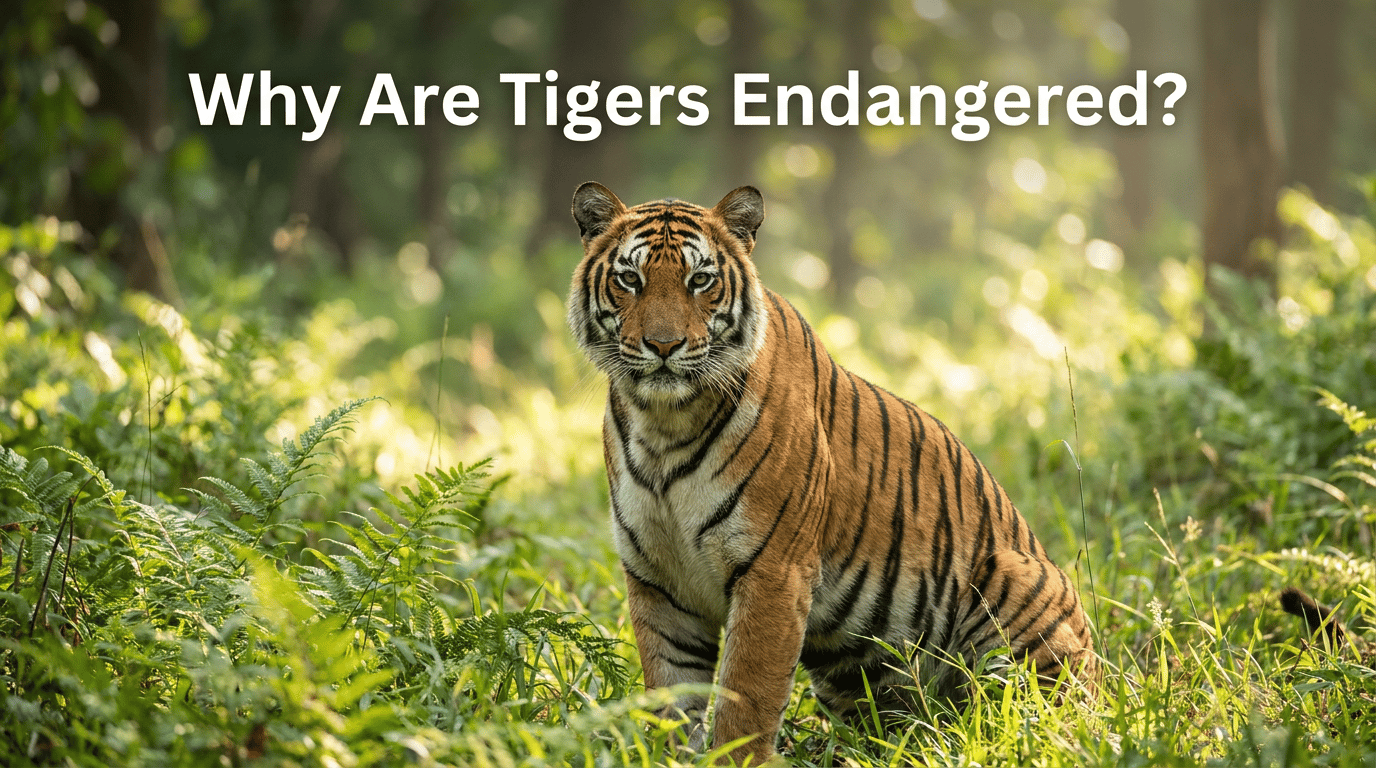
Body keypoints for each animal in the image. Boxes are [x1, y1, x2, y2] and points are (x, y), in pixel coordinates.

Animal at [567, 182, 1096, 763]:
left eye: (699, 280)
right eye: (629, 279)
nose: (663, 346)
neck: (663, 423)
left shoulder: (773, 572)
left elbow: (745, 700)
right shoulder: (658, 582)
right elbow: (670, 699)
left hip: (1011, 579)